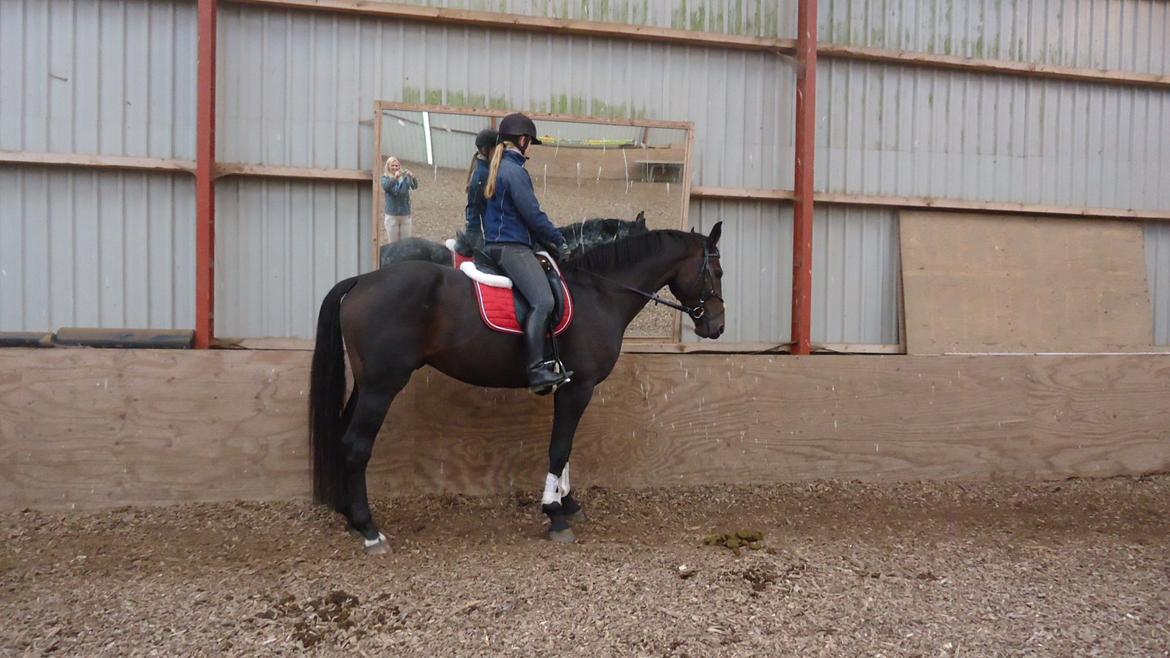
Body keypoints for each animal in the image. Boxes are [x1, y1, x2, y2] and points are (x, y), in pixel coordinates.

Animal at [309, 222, 724, 553]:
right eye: (716, 271)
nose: (716, 326)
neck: (600, 292)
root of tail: (362, 280)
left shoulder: (569, 386)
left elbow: (566, 447)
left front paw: (567, 502)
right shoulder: (580, 387)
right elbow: (560, 447)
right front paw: (555, 514)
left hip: (367, 385)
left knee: (344, 436)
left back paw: (350, 515)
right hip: (382, 387)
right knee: (357, 445)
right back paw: (369, 530)